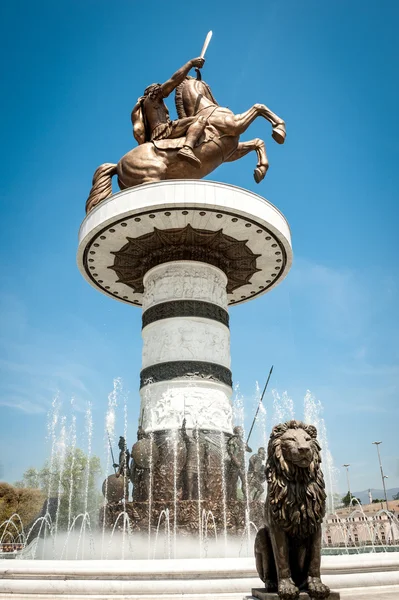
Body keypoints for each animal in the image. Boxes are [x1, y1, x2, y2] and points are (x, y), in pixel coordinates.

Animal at [86, 77, 286, 213]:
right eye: (208, 86)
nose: (219, 102)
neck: (205, 110)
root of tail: (118, 165)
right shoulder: (235, 124)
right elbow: (259, 107)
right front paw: (279, 130)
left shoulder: (231, 151)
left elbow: (257, 142)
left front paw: (260, 170)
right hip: (150, 177)